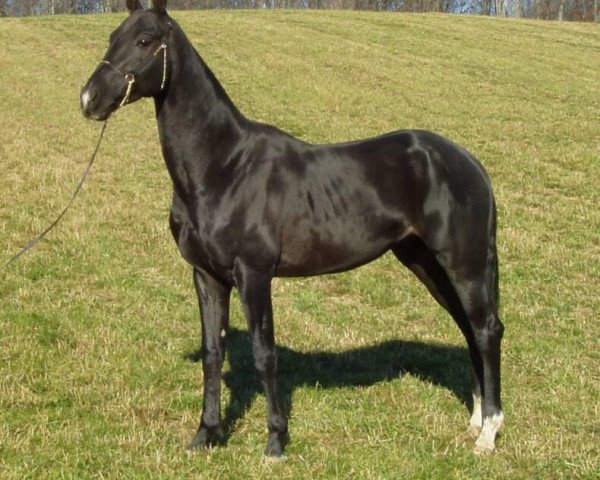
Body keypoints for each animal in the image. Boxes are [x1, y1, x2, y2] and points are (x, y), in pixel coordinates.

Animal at [82, 0, 504, 458]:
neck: (224, 167)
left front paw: (275, 442)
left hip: (463, 265)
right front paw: (205, 435)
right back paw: (475, 423)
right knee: (469, 329)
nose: (89, 98)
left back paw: (489, 434)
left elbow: (264, 354)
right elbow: (214, 352)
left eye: (144, 40)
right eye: (112, 36)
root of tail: (468, 161)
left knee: (486, 330)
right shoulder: (207, 276)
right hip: (427, 264)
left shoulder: (253, 274)